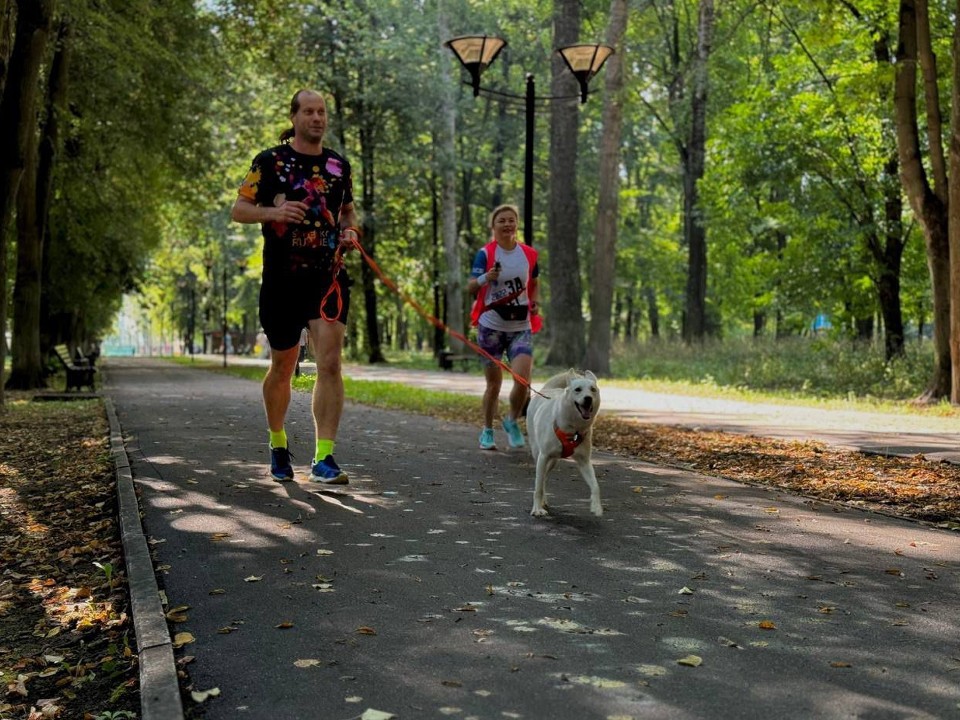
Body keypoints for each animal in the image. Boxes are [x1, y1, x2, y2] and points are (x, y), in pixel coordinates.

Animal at [524, 372, 600, 516]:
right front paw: (537, 509)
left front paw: (596, 507)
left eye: (593, 389)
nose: (588, 398)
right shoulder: (543, 456)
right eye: (578, 389)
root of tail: (547, 389)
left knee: (544, 478)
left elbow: (595, 486)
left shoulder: (584, 462)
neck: (573, 430)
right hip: (538, 453)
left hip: (553, 461)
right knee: (541, 479)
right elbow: (538, 487)